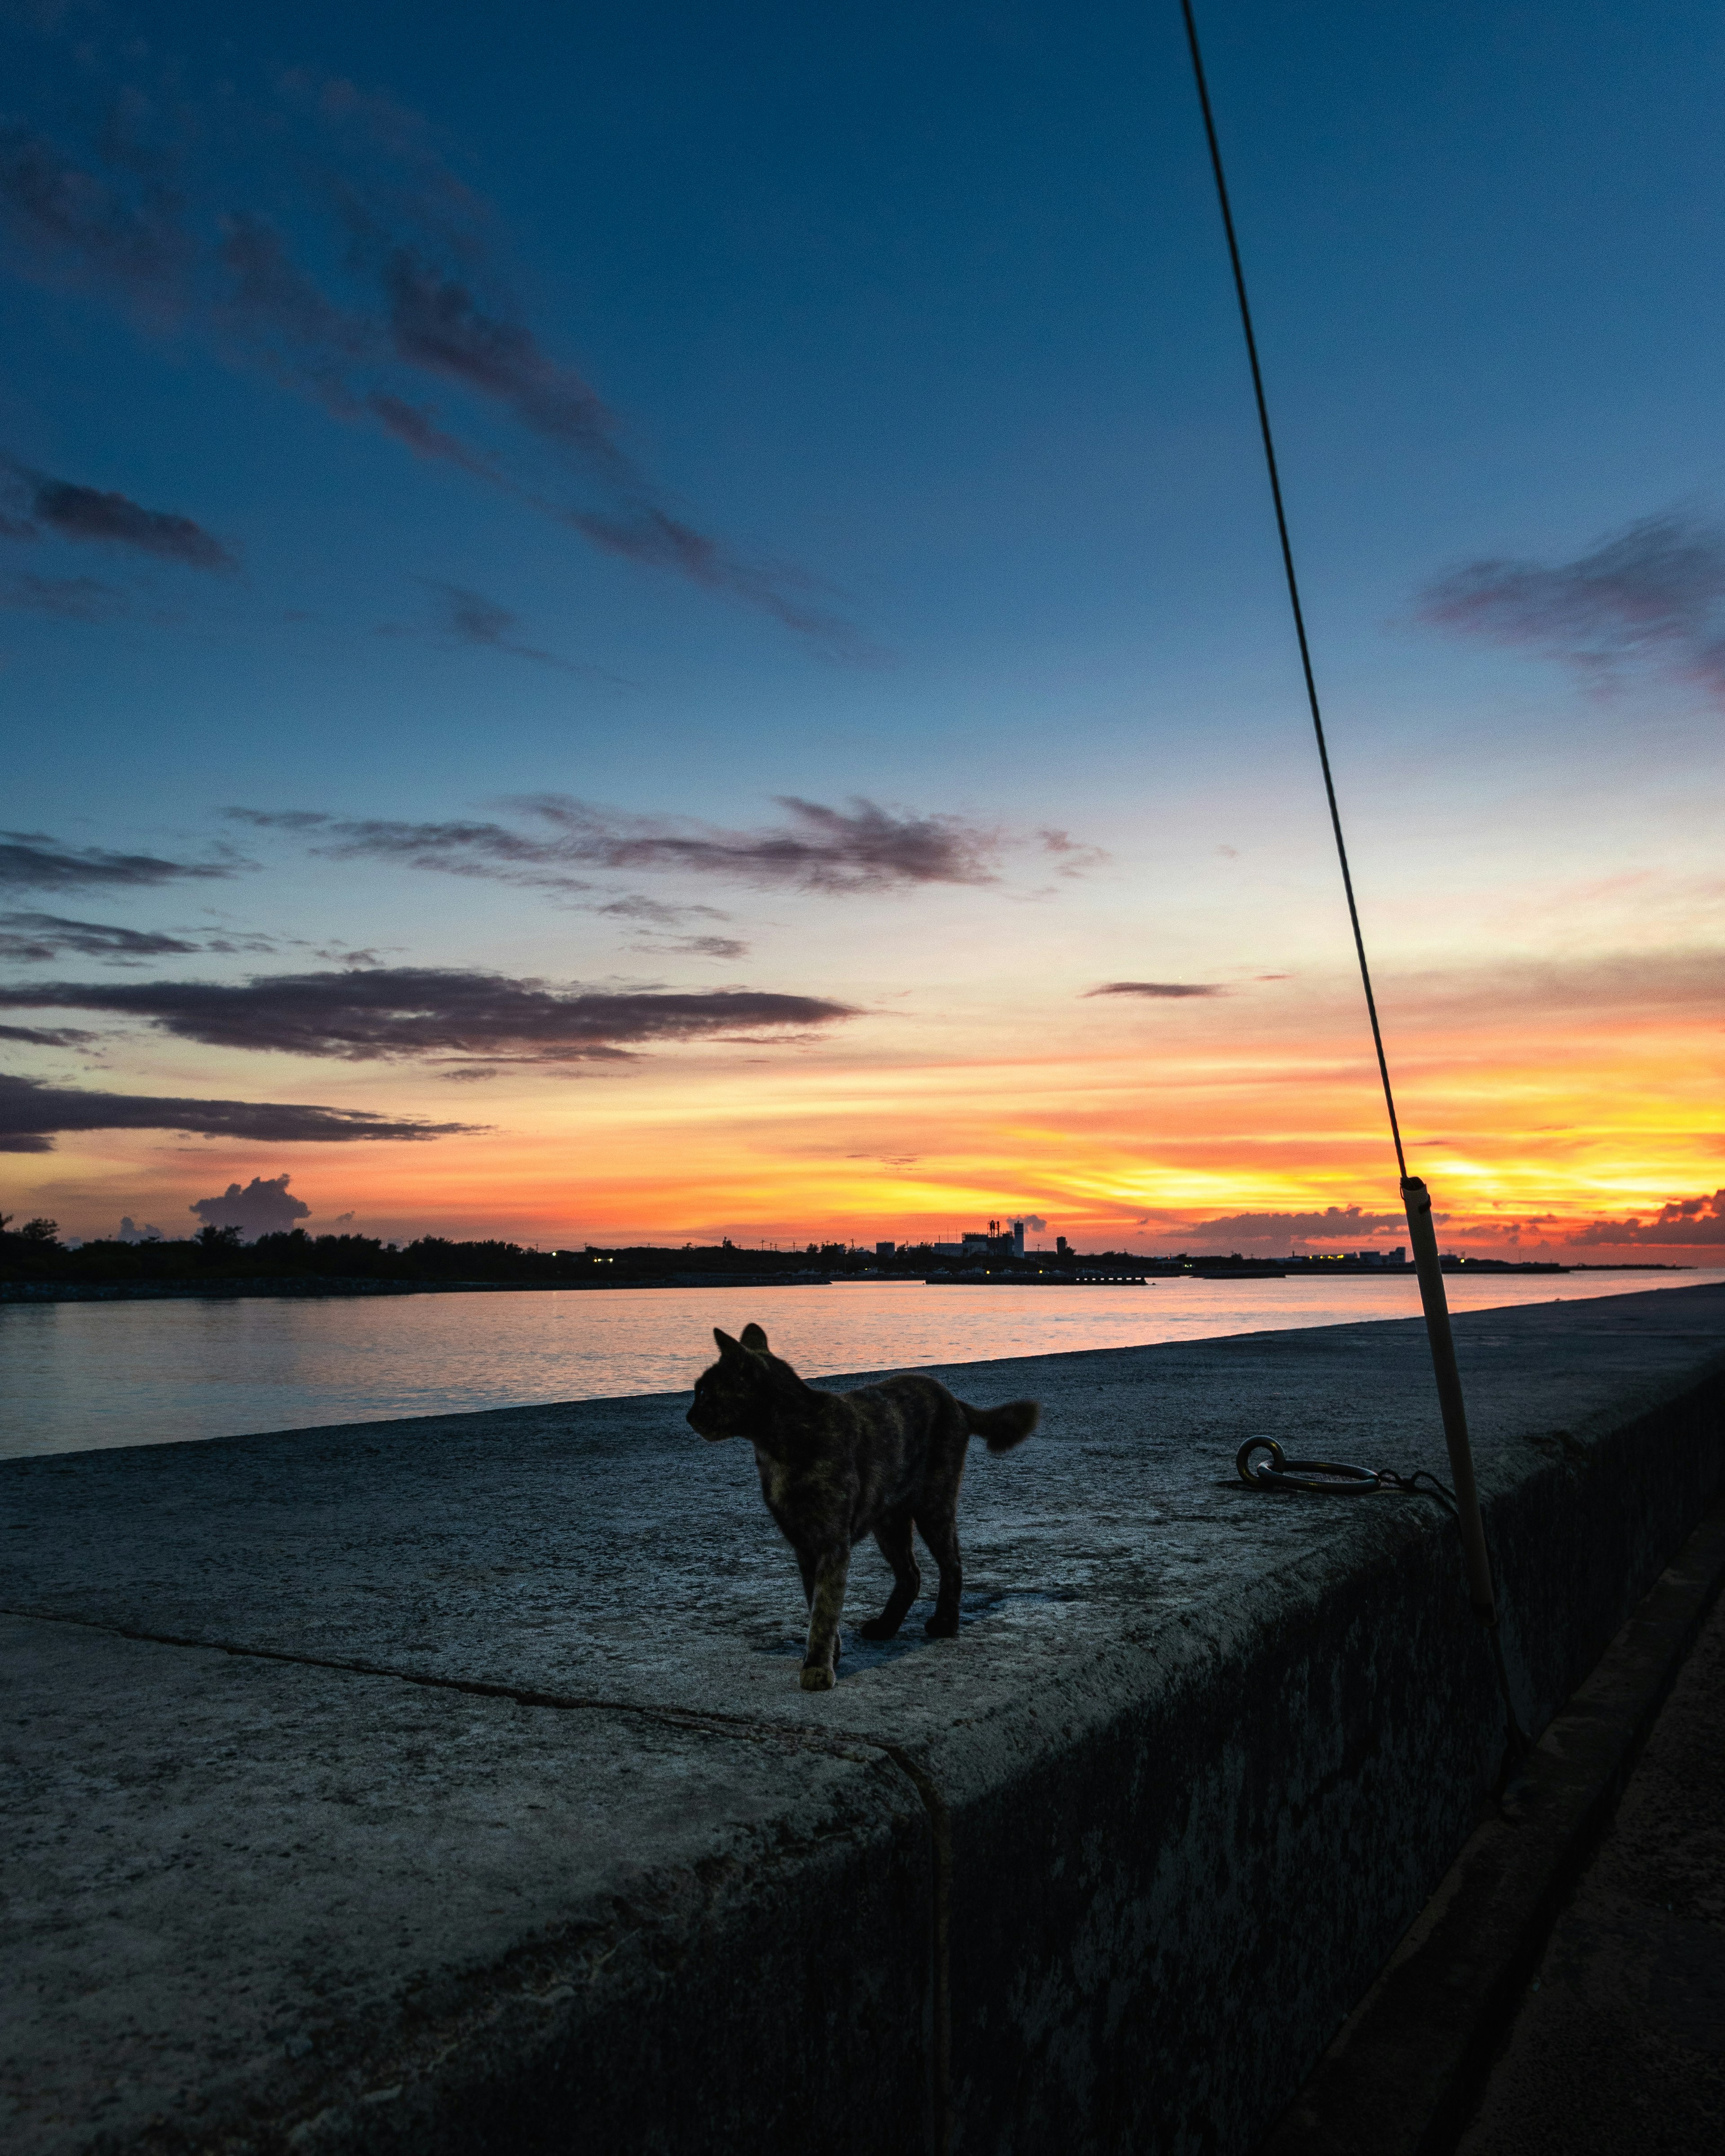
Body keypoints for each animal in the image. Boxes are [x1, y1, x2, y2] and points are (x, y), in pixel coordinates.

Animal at [686, 1319, 1039, 1690]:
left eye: (704, 1392)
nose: (688, 1416)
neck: (779, 1448)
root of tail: (953, 1399)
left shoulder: (831, 1542)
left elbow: (825, 1608)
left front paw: (818, 1668)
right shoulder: (805, 1545)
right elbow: (816, 1602)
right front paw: (831, 1655)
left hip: (933, 1505)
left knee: (952, 1563)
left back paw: (945, 1624)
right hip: (890, 1521)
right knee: (911, 1574)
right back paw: (886, 1627)